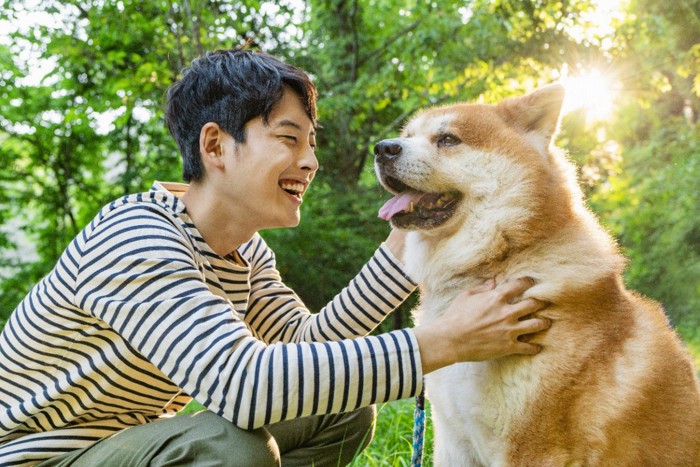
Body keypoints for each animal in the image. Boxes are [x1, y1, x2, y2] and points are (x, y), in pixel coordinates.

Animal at [374, 85, 700, 467]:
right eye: (408, 136)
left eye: (448, 139)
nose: (382, 148)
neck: (497, 262)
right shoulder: (454, 440)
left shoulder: (534, 448)